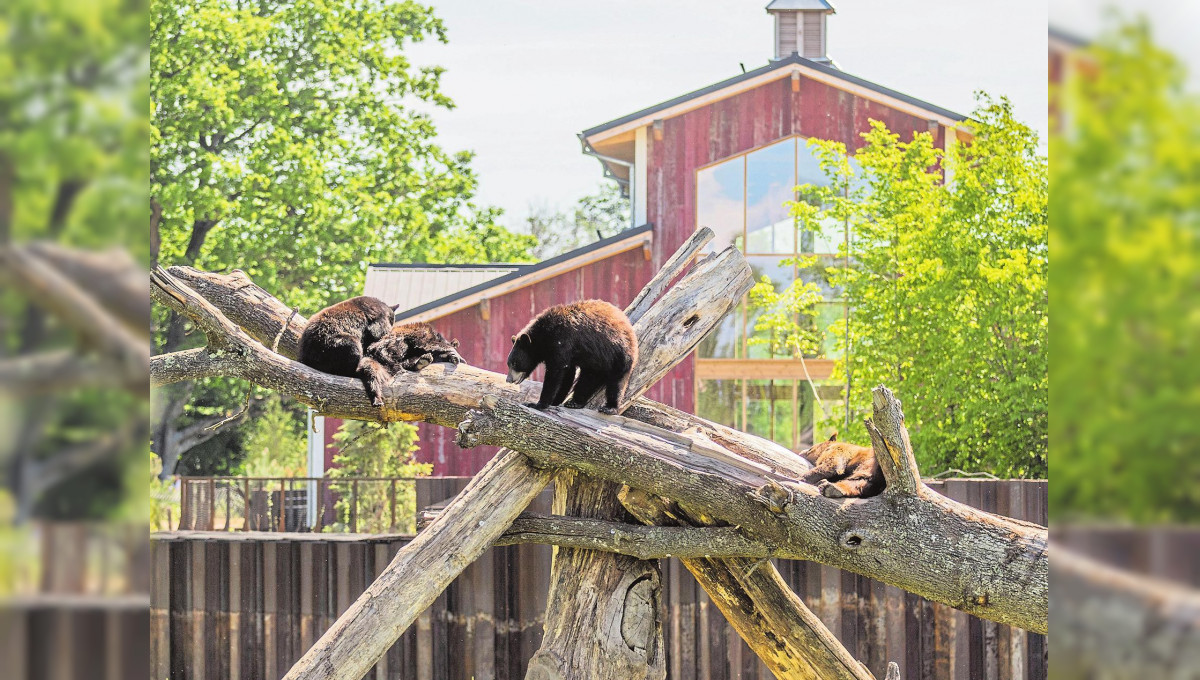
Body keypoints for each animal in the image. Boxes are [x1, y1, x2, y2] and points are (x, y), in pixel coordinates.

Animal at [504, 302, 638, 417]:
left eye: (514, 363)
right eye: (509, 364)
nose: (508, 379)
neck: (544, 335)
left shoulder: (562, 341)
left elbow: (555, 374)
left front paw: (538, 404)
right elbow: (567, 375)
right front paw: (555, 401)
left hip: (620, 354)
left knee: (617, 382)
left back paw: (609, 407)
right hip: (597, 362)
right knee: (588, 379)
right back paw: (575, 402)